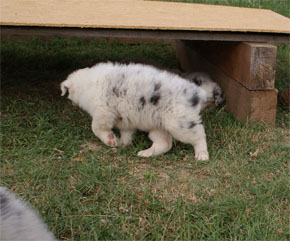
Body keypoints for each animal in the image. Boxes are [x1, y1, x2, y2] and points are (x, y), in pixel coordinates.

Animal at [60, 62, 224, 160]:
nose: (71, 102)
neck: (87, 84)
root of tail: (198, 93)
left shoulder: (103, 111)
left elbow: (97, 128)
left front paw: (110, 140)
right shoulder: (125, 121)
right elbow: (126, 134)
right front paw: (122, 144)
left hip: (180, 124)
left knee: (199, 136)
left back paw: (202, 154)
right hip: (157, 126)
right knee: (165, 143)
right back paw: (146, 153)